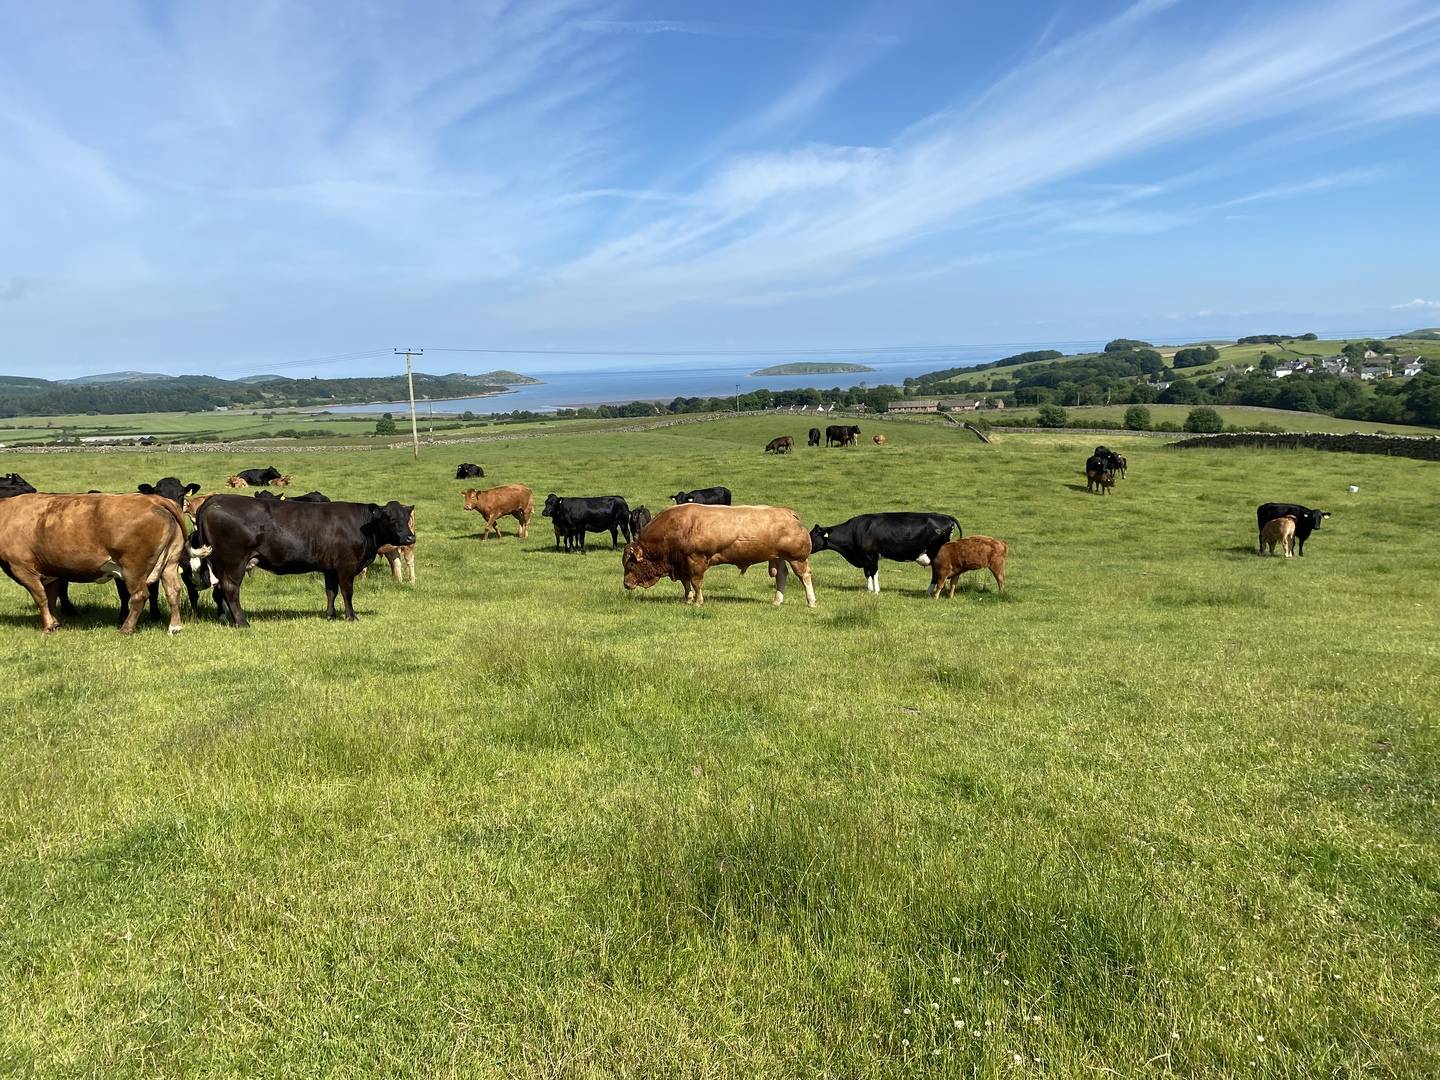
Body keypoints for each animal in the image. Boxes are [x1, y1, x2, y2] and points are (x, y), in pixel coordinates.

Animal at [0, 493, 187, 634]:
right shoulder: (51, 572)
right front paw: (55, 623)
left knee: (139, 595)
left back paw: (126, 629)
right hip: (170, 562)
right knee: (173, 591)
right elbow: (51, 597)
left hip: (133, 567)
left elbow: (41, 598)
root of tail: (153, 499)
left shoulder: (23, 568)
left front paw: (47, 626)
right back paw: (175, 627)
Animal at [187, 495, 415, 626]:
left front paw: (330, 616)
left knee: (220, 591)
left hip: (221, 564)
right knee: (230, 590)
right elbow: (347, 592)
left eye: (406, 518)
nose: (410, 538)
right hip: (234, 562)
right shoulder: (346, 566)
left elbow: (331, 592)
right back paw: (242, 622)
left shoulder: (329, 568)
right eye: (391, 518)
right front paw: (351, 617)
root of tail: (214, 499)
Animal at [622, 503, 816, 608]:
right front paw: (688, 599)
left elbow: (696, 582)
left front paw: (698, 601)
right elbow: (686, 584)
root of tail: (788, 513)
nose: (626, 584)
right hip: (778, 557)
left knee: (804, 576)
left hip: (797, 558)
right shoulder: (681, 564)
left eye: (630, 564)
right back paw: (777, 601)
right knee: (781, 576)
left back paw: (811, 601)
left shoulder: (696, 560)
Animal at [809, 512, 960, 594]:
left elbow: (874, 573)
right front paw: (869, 589)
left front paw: (876, 591)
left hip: (935, 554)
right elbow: (867, 573)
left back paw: (929, 591)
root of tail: (944, 516)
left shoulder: (873, 556)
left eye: (812, 536)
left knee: (936, 573)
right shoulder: (865, 558)